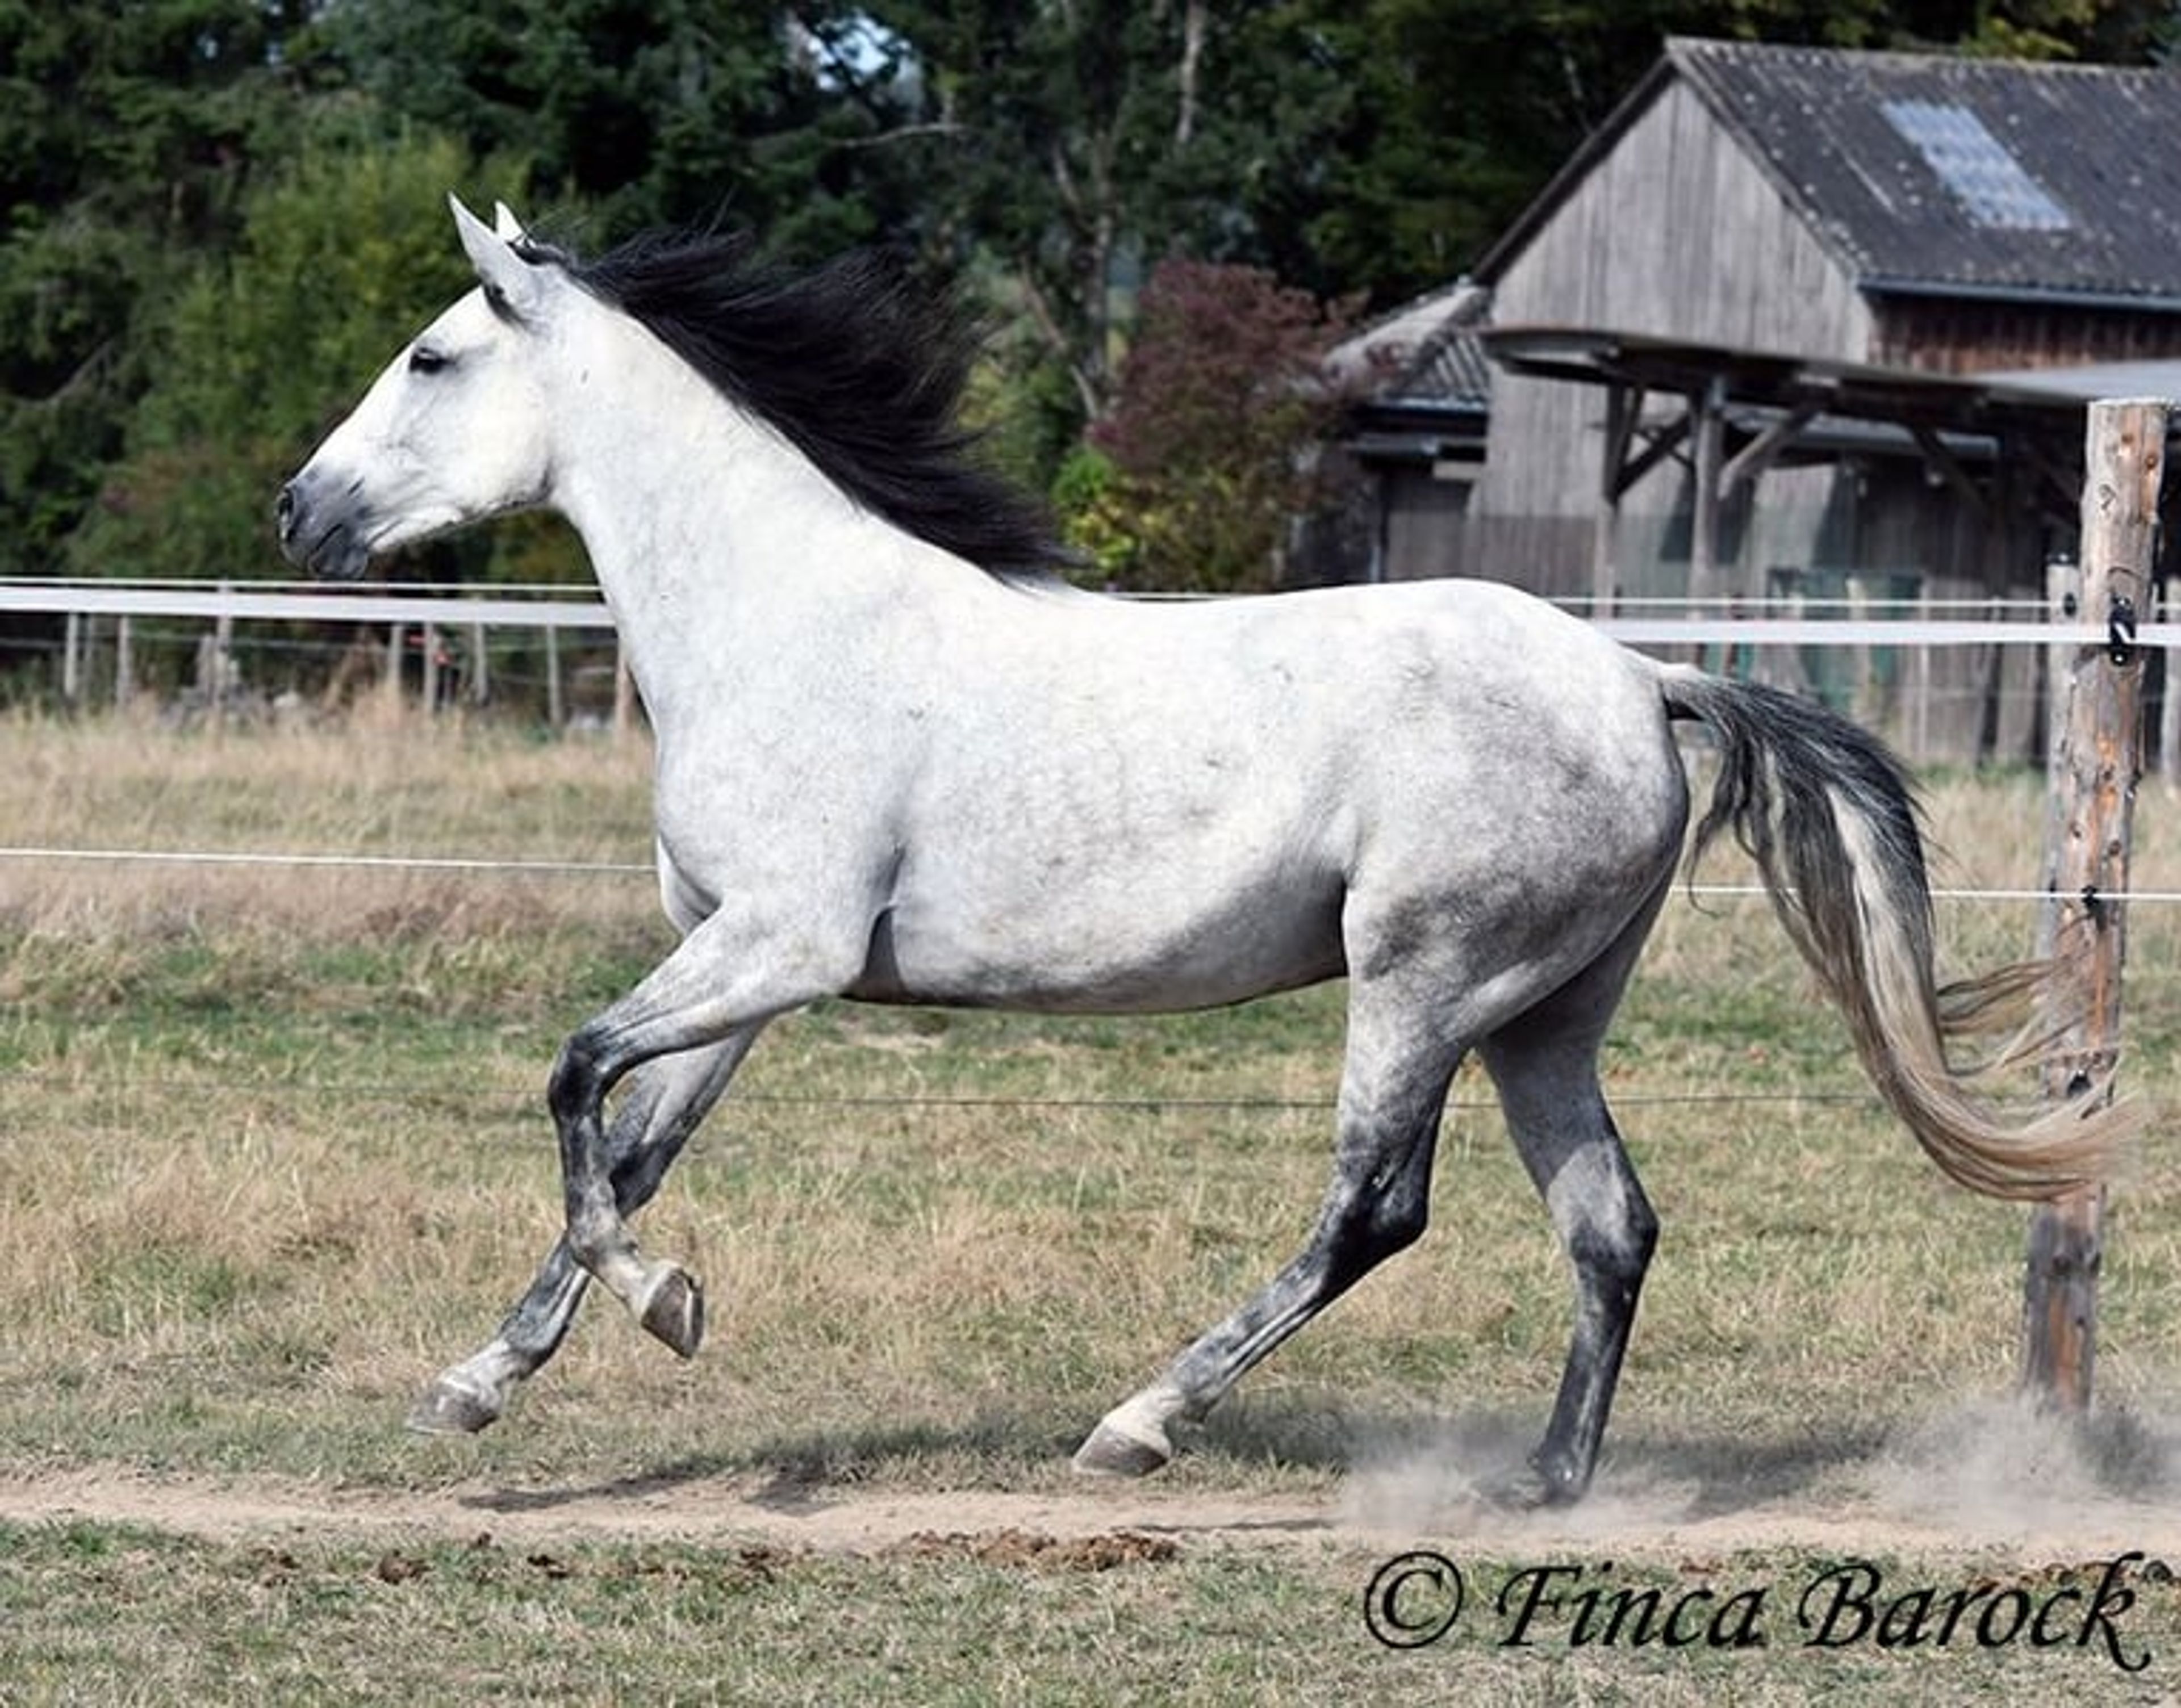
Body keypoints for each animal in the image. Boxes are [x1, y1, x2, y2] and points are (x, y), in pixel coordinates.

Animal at [277, 198, 2122, 1505]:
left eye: (431, 359)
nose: (298, 513)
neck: (783, 616)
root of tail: (1641, 678)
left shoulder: (780, 946)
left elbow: (572, 1076)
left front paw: (664, 1307)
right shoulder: (741, 964)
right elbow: (629, 1140)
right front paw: (480, 1382)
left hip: (1420, 982)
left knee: (1374, 1209)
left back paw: (1142, 1421)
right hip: (1543, 1011)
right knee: (1609, 1226)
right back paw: (1541, 1483)